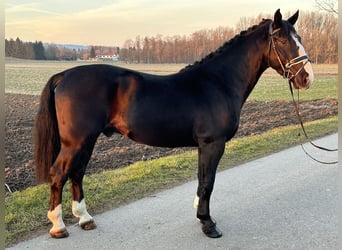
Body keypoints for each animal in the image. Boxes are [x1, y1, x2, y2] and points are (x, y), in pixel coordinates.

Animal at [34, 9, 312, 239]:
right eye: (283, 40)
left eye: (298, 37)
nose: (307, 77)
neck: (218, 82)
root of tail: (64, 75)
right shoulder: (213, 143)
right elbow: (208, 181)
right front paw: (208, 224)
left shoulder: (205, 146)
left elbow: (202, 179)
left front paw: (200, 215)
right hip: (76, 141)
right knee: (59, 173)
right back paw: (58, 226)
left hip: (86, 141)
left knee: (77, 173)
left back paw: (85, 219)